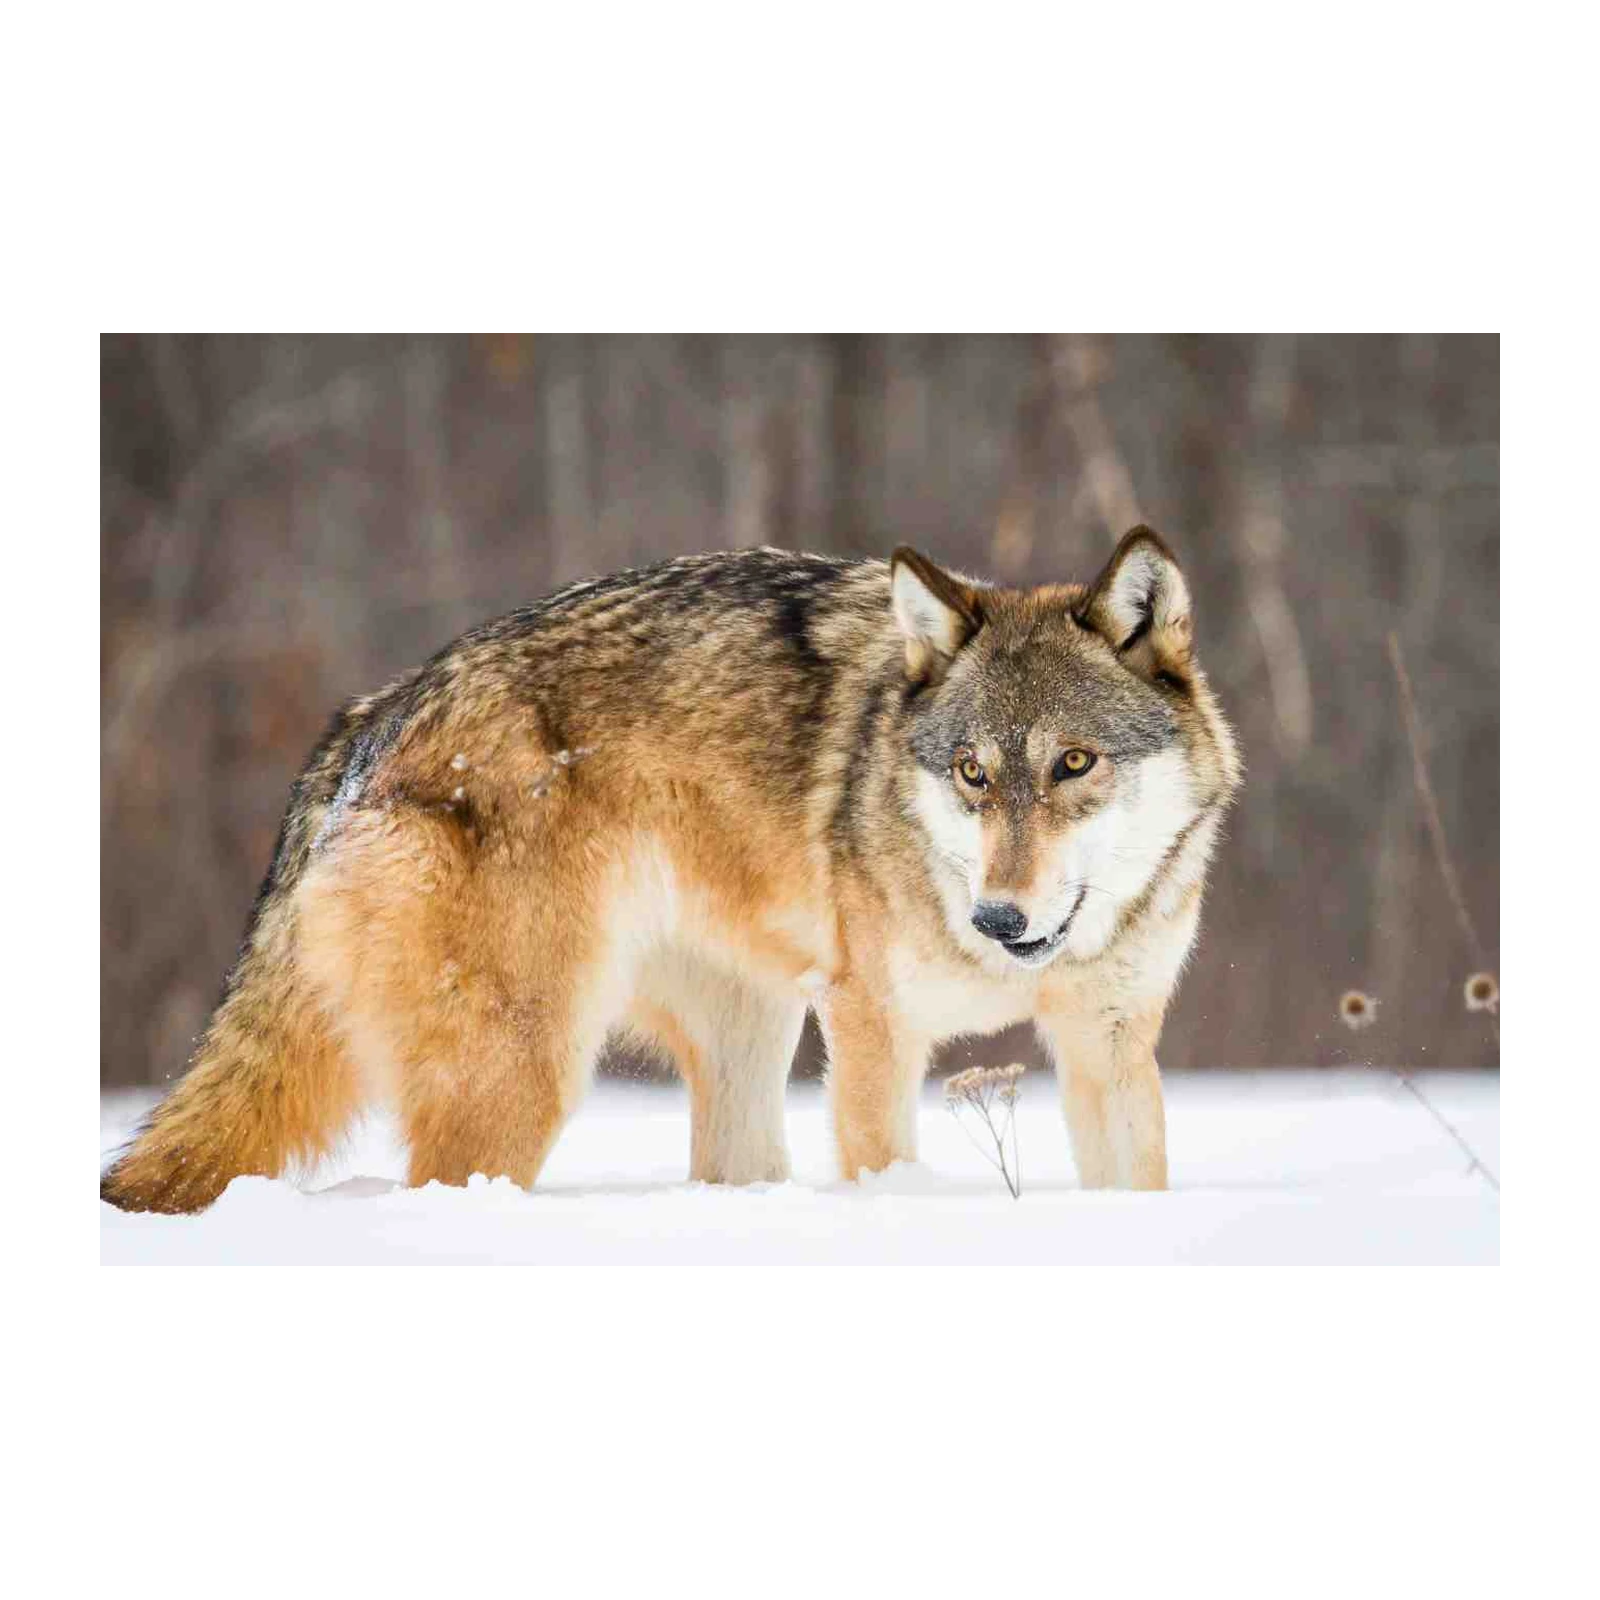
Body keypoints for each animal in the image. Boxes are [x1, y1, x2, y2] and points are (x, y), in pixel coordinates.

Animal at [98, 527, 1240, 1212]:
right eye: (972, 773)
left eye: (1074, 764)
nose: (999, 920)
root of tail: (373, 714)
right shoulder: (875, 1032)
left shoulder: (1105, 1042)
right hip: (527, 1078)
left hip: (747, 1047)